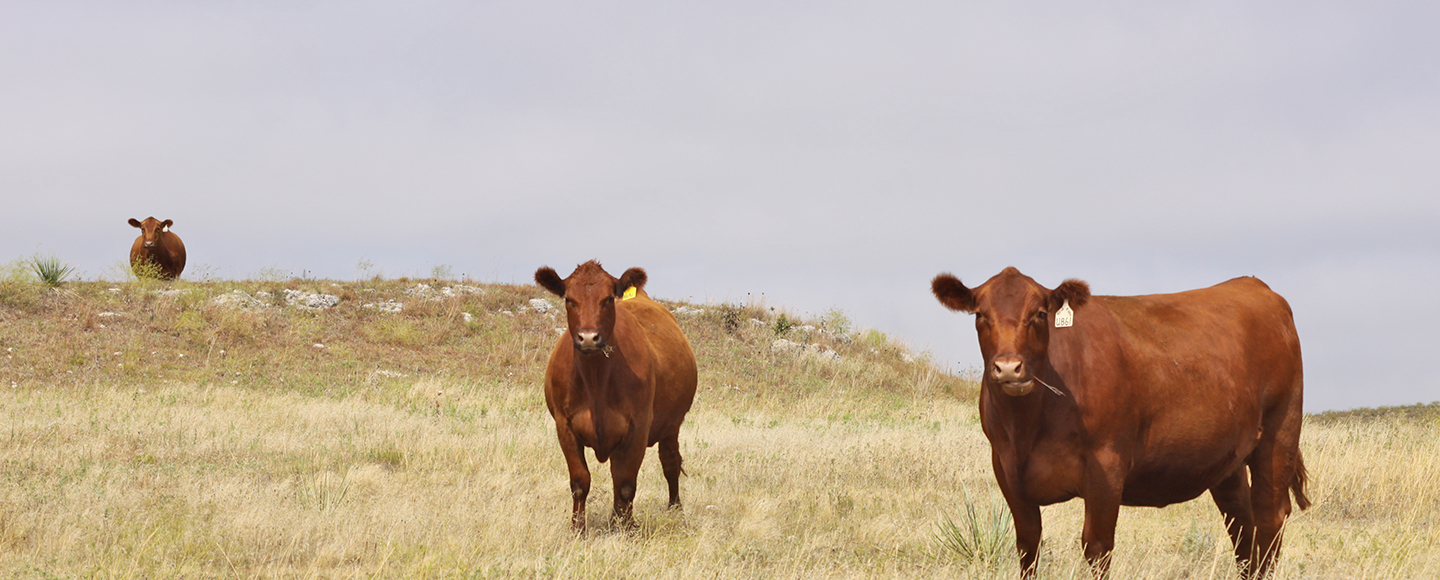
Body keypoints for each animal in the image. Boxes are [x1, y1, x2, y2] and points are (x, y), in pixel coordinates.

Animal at [538, 260, 699, 532]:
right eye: (569, 299)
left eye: (608, 299)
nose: (588, 337)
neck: (596, 383)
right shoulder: (564, 425)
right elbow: (580, 482)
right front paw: (578, 529)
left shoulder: (638, 426)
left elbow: (625, 484)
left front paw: (625, 530)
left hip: (671, 425)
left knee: (670, 463)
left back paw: (675, 510)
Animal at [927, 269, 1313, 580]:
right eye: (980, 315)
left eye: (1039, 314)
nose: (1009, 367)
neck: (1027, 428)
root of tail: (1253, 284)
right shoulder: (1007, 470)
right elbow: (1028, 546)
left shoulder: (1106, 465)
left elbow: (1096, 547)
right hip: (1227, 457)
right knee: (1241, 521)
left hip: (1280, 430)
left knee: (1269, 514)